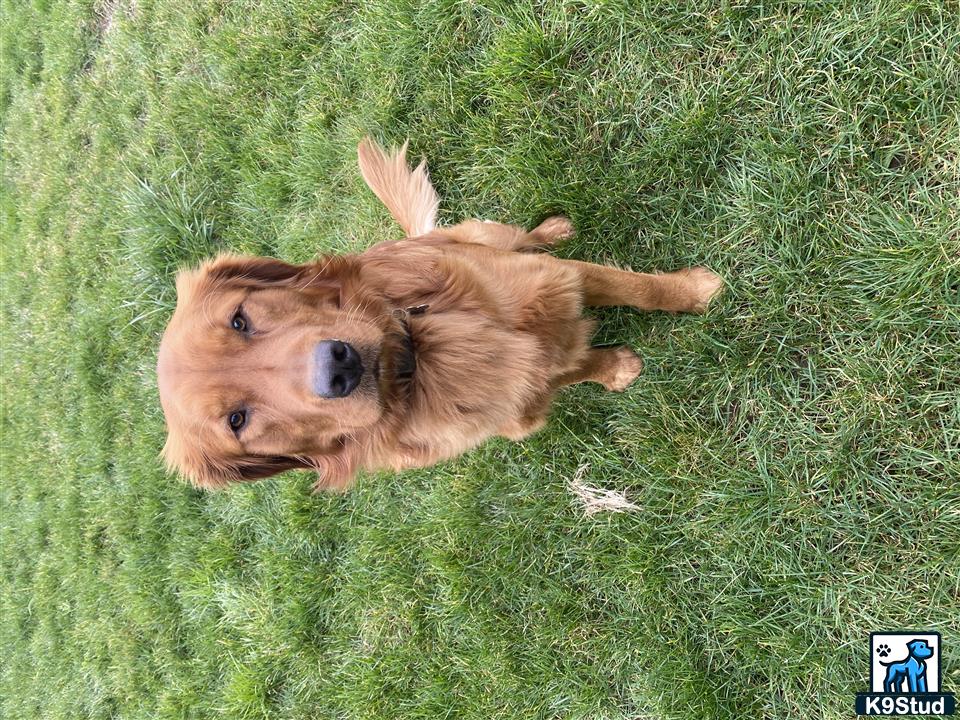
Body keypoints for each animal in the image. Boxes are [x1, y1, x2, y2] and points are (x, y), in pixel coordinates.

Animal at [158, 139, 724, 492]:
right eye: (237, 421)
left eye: (240, 319)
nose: (338, 367)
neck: (420, 355)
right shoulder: (521, 401)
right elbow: (570, 368)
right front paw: (614, 369)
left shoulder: (559, 278)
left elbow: (640, 288)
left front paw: (696, 291)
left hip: (487, 235)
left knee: (515, 235)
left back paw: (551, 227)